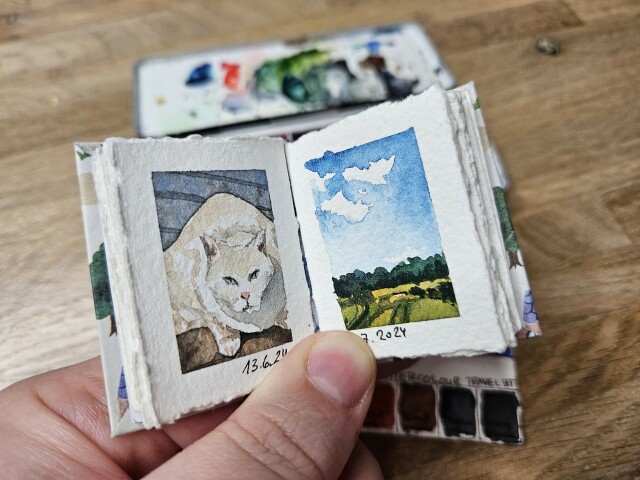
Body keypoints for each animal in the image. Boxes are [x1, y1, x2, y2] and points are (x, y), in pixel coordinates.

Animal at [164, 192, 288, 356]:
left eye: (254, 274)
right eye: (229, 279)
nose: (246, 295)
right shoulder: (198, 289)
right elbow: (216, 321)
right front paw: (229, 341)